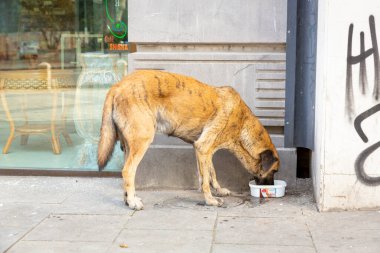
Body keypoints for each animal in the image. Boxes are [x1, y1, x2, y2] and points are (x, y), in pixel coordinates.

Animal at [98, 69, 280, 210]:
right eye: (274, 171)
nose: (270, 188)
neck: (242, 123)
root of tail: (117, 86)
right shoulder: (203, 147)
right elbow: (206, 179)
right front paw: (210, 200)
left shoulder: (204, 150)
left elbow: (210, 173)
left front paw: (218, 190)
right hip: (143, 140)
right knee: (128, 171)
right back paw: (132, 202)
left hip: (130, 146)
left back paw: (128, 199)